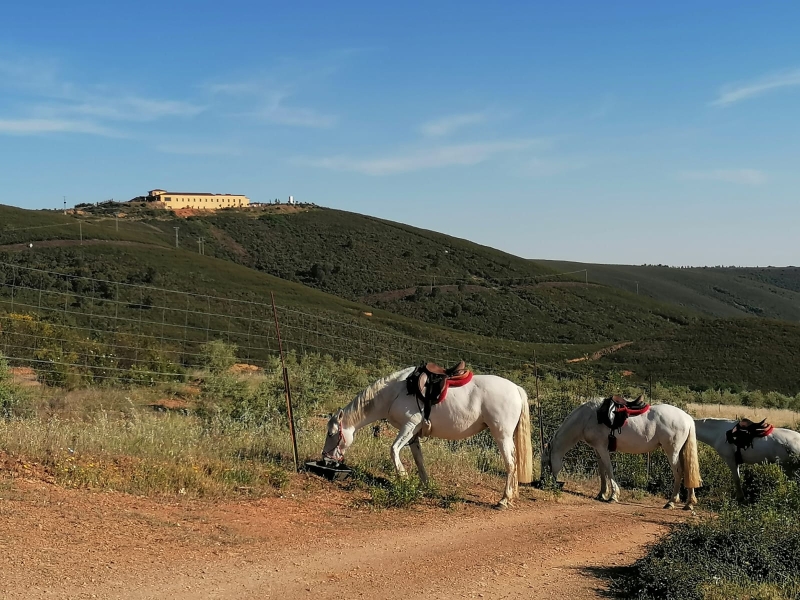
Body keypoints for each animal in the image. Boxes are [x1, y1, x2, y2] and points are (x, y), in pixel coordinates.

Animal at [318, 366, 532, 506]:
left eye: (331, 433)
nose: (326, 459)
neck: (394, 393)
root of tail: (516, 389)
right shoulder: (413, 433)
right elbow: (419, 459)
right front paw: (425, 486)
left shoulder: (409, 426)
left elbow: (393, 450)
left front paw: (403, 477)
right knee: (513, 462)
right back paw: (511, 496)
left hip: (501, 435)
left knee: (510, 464)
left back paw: (504, 500)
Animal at [540, 396, 704, 508]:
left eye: (546, 462)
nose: (542, 484)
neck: (587, 418)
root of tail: (687, 418)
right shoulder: (597, 449)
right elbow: (602, 471)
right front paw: (601, 493)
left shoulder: (602, 448)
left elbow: (609, 469)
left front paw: (613, 495)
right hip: (680, 452)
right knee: (688, 471)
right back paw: (689, 503)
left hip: (672, 452)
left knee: (679, 473)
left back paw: (671, 502)